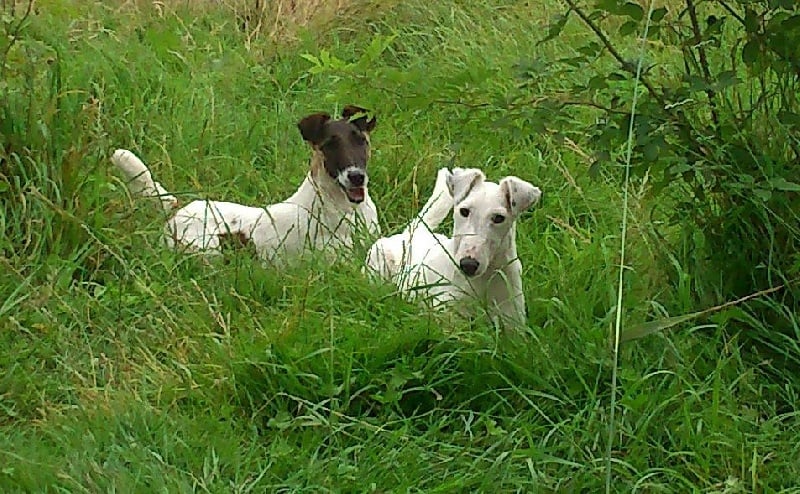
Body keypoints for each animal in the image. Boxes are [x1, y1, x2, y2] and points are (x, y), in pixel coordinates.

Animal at [110, 105, 382, 264]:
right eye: (329, 145)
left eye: (361, 140)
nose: (356, 176)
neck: (344, 209)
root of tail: (179, 210)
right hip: (209, 250)